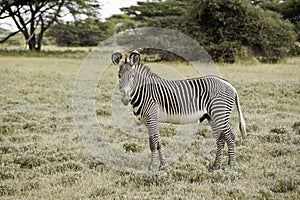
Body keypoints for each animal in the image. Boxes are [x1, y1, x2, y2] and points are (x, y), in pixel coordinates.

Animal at [110, 50, 246, 170]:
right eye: (119, 76)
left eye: (133, 77)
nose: (125, 100)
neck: (144, 91)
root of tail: (231, 86)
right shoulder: (150, 121)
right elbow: (158, 141)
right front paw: (163, 165)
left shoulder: (151, 118)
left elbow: (153, 143)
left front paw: (152, 167)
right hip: (212, 117)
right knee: (221, 139)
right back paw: (216, 166)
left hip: (219, 114)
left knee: (230, 136)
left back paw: (230, 165)